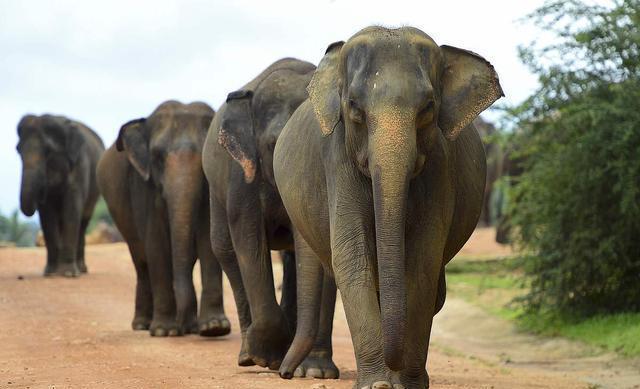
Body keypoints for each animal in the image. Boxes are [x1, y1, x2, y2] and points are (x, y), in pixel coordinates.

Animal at [16, 113, 104, 278]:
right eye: (18, 150)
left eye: (48, 151)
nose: (41, 191)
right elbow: (47, 214)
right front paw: (50, 273)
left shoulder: (80, 164)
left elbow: (72, 208)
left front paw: (68, 274)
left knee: (83, 222)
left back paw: (81, 270)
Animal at [96, 100, 229, 336]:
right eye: (157, 157)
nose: (184, 327)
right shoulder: (143, 185)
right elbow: (156, 243)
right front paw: (163, 331)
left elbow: (208, 240)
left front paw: (214, 328)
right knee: (141, 261)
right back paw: (143, 325)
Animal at [204, 56, 340, 374]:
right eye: (273, 146)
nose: (285, 373)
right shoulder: (242, 177)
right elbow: (249, 240)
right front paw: (267, 356)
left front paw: (314, 370)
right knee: (226, 251)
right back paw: (249, 356)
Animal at [272, 25, 502, 386]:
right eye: (354, 107)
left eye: (428, 108)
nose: (283, 374)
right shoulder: (338, 160)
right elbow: (353, 258)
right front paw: (378, 384)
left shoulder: (439, 165)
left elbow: (422, 262)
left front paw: (408, 384)